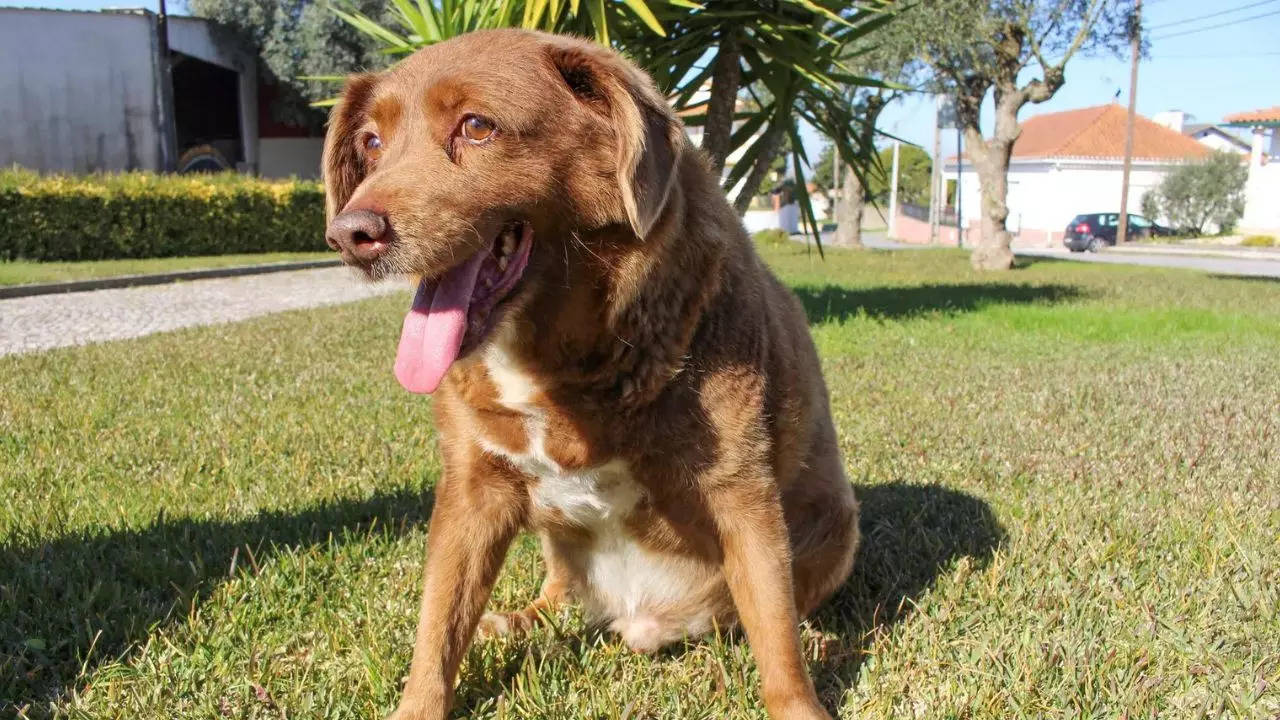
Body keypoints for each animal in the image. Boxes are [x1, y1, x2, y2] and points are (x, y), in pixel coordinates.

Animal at [322, 29, 859, 720]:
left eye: (477, 126)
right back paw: (515, 620)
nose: (349, 234)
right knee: (556, 596)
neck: (556, 360)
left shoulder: (741, 492)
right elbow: (437, 627)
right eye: (371, 142)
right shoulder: (472, 489)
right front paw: (419, 704)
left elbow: (776, 636)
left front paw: (801, 701)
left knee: (781, 610)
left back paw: (816, 635)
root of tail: (642, 618)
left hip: (836, 527)